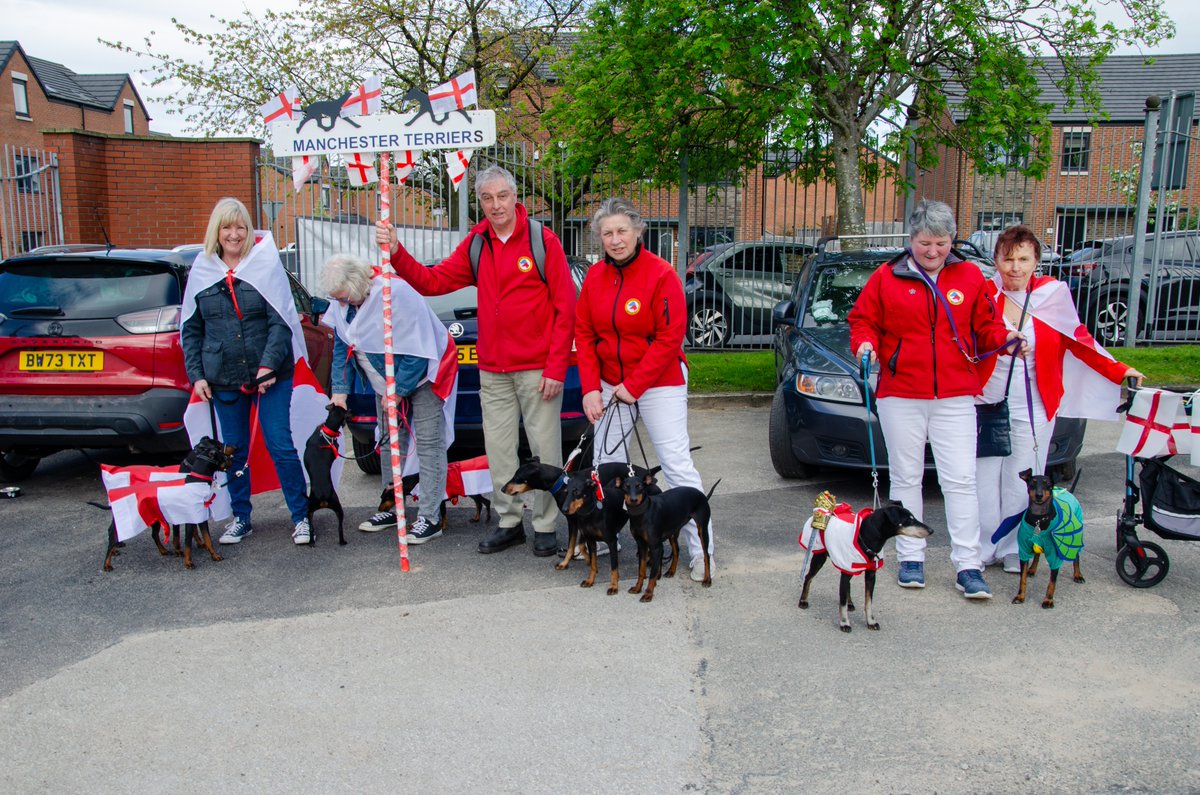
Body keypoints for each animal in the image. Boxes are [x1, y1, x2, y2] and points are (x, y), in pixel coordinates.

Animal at [302, 405, 350, 547]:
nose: (350, 409)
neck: (328, 432)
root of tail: (322, 497)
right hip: (327, 507)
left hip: (315, 509)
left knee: (334, 528)